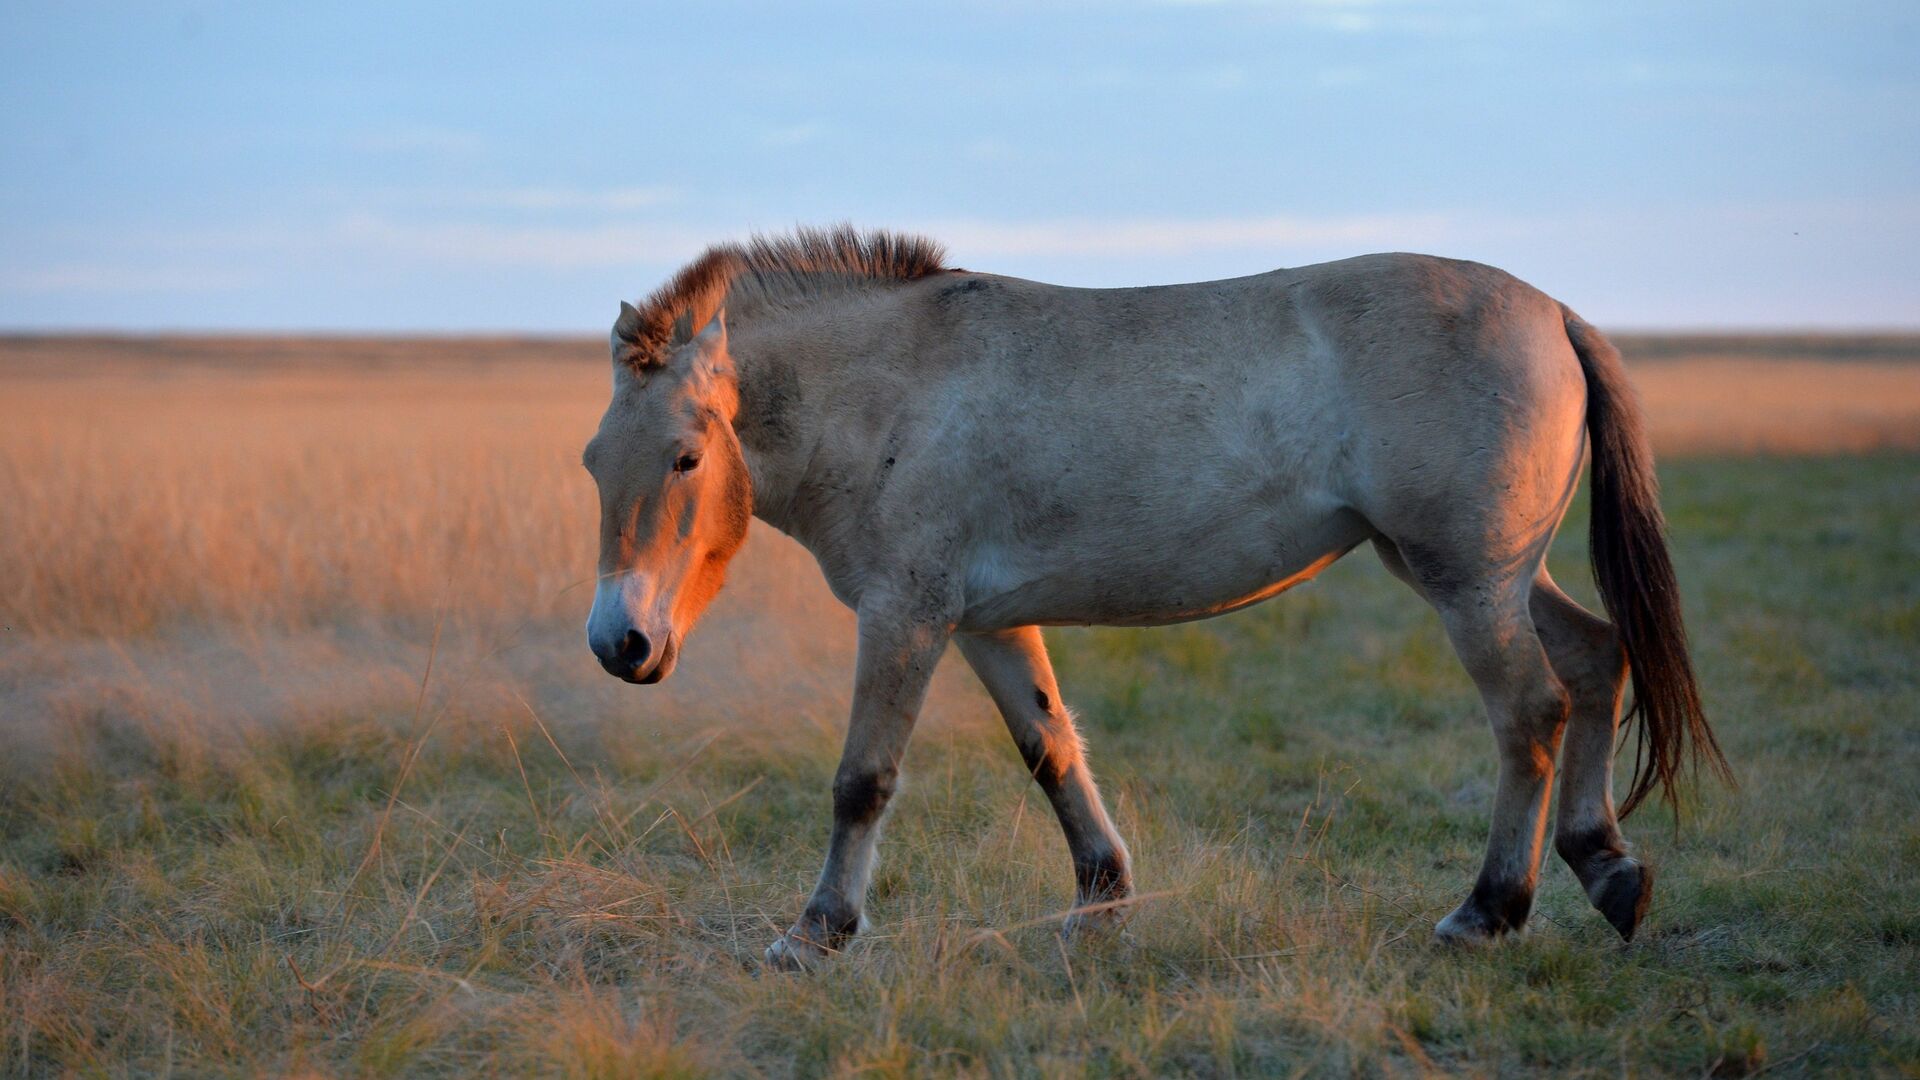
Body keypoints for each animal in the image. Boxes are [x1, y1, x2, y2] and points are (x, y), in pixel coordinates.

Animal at [576, 222, 1735, 960]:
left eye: (685, 458)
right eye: (594, 461)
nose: (617, 644)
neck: (894, 387)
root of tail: (1555, 313)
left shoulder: (904, 618)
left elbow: (863, 779)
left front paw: (816, 932)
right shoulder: (985, 624)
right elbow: (1052, 751)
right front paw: (1102, 901)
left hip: (1468, 583)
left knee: (1532, 712)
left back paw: (1489, 912)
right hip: (1487, 574)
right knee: (1595, 658)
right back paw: (1607, 869)